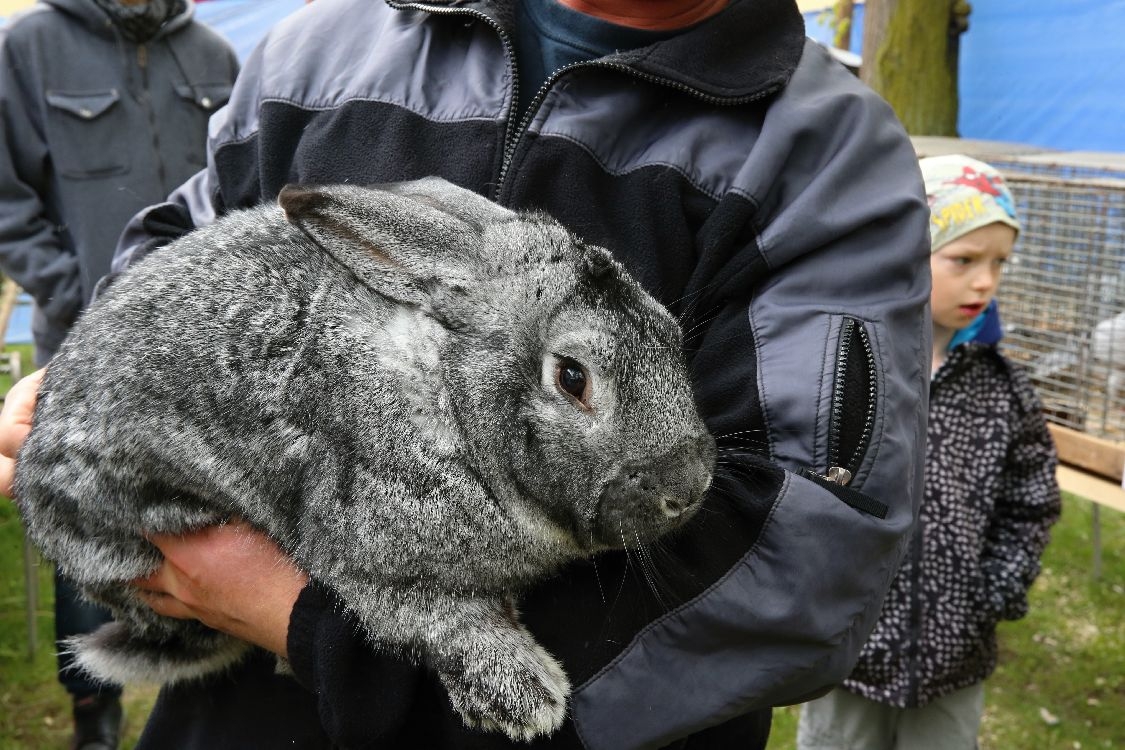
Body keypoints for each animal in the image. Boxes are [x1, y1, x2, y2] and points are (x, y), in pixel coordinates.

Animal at [15, 178, 711, 742]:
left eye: (672, 335)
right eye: (572, 377)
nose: (690, 487)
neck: (452, 400)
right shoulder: (367, 562)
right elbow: (439, 620)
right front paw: (526, 699)